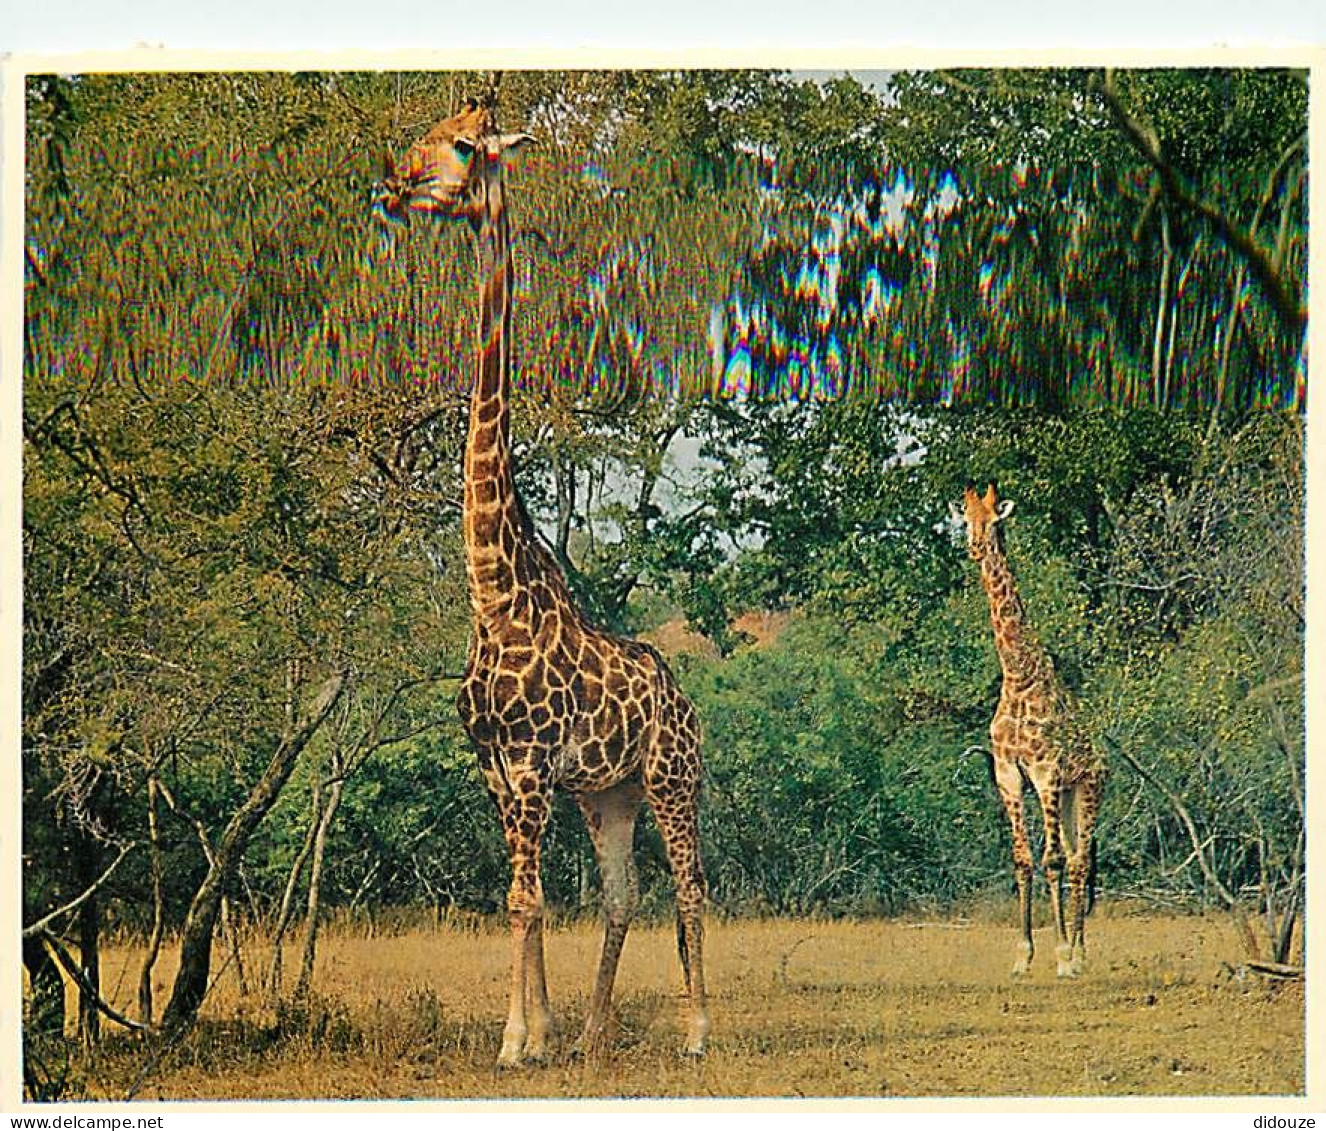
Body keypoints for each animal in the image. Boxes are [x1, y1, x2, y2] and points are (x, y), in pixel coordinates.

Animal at [379, 101, 710, 1066]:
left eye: (460, 147)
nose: (394, 182)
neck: (493, 597)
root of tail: (684, 696)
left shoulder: (528, 766)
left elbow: (526, 900)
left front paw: (515, 1041)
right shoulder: (496, 768)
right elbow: (521, 899)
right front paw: (547, 1030)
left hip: (673, 779)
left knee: (691, 889)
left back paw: (697, 1029)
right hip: (610, 794)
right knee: (622, 894)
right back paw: (599, 1028)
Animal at [960, 479, 1103, 975]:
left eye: (994, 519)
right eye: (965, 518)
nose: (976, 547)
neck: (1019, 676)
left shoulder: (1046, 774)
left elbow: (1053, 861)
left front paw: (1060, 955)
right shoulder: (1008, 774)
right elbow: (1023, 860)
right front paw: (1023, 956)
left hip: (1088, 787)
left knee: (1079, 862)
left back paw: (1078, 956)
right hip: (1067, 796)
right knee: (1078, 858)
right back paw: (1078, 951)